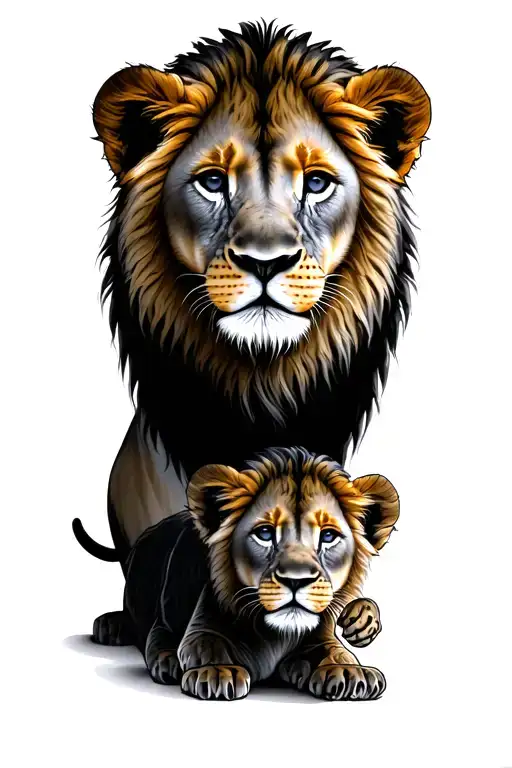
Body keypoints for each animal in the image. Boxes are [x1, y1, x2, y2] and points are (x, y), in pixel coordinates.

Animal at [93, 447, 399, 701]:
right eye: (264, 533)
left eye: (328, 536)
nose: (295, 580)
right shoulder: (202, 628)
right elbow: (206, 645)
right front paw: (218, 671)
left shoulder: (319, 638)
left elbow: (334, 651)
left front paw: (349, 671)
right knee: (155, 633)